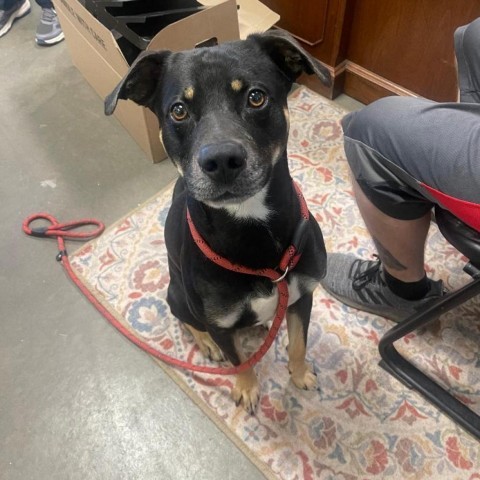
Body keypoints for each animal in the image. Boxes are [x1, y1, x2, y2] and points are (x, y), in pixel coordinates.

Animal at [104, 30, 330, 412]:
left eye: (256, 97)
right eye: (179, 110)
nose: (221, 160)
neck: (250, 224)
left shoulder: (303, 294)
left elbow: (300, 342)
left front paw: (300, 374)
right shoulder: (220, 322)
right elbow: (240, 360)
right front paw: (247, 389)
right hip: (177, 293)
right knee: (186, 319)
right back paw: (207, 344)